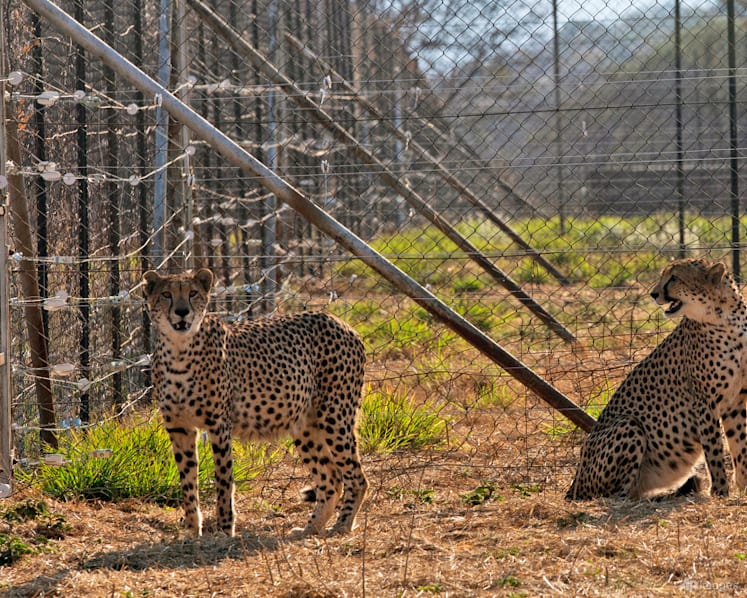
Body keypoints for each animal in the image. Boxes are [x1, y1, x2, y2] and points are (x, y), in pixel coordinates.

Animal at [143, 268, 368, 536]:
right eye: (166, 294)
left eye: (193, 293)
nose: (181, 311)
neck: (179, 350)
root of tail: (339, 321)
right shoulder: (179, 428)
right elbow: (187, 481)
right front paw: (191, 530)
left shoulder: (219, 425)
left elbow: (223, 480)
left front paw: (224, 530)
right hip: (305, 425)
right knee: (331, 479)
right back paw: (309, 529)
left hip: (334, 416)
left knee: (356, 477)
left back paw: (342, 526)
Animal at [566, 258, 747, 500]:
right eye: (664, 276)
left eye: (674, 278)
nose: (653, 294)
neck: (725, 317)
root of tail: (574, 482)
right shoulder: (704, 402)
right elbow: (714, 451)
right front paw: (720, 492)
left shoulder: (735, 400)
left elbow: (740, 444)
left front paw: (743, 487)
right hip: (629, 424)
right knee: (616, 495)